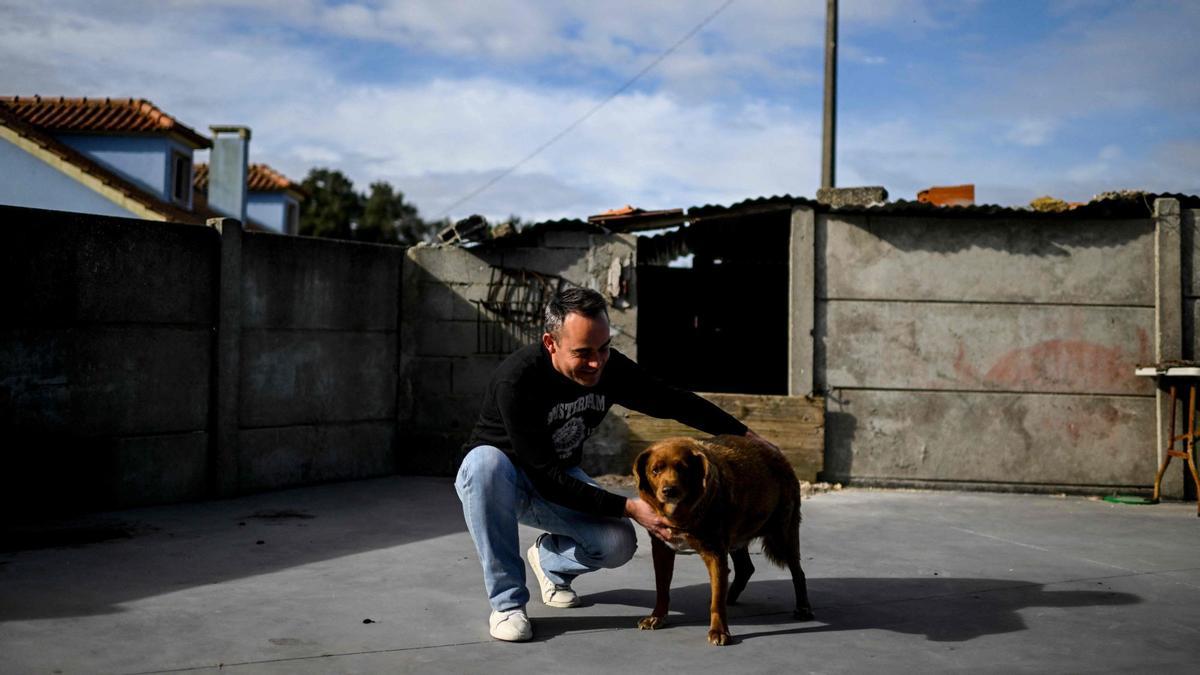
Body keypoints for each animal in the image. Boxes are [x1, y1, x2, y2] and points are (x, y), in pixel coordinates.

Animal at [628, 432, 816, 643]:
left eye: (683, 469)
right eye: (655, 470)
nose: (669, 491)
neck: (682, 512)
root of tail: (777, 453)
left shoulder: (715, 552)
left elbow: (716, 603)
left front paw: (719, 631)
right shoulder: (662, 548)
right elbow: (662, 588)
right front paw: (657, 617)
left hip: (783, 534)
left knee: (798, 573)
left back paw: (803, 608)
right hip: (738, 537)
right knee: (745, 568)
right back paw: (729, 596)